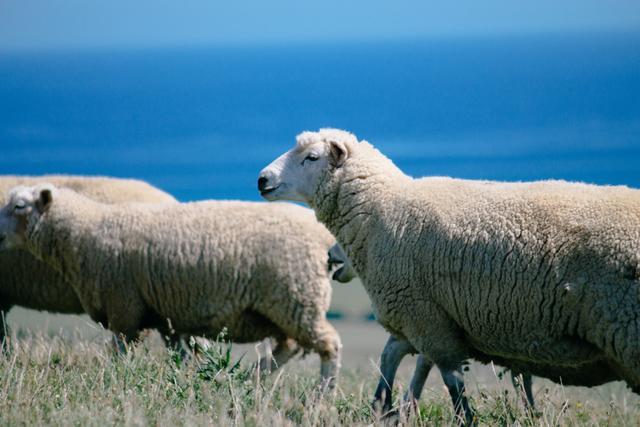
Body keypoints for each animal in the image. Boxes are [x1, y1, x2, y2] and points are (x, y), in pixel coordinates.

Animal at [258, 127, 640, 424]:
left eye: (311, 157)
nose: (262, 180)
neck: (382, 208)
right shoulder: (429, 317)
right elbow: (395, 362)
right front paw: (386, 408)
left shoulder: (424, 317)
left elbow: (452, 385)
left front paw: (456, 417)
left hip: (627, 329)